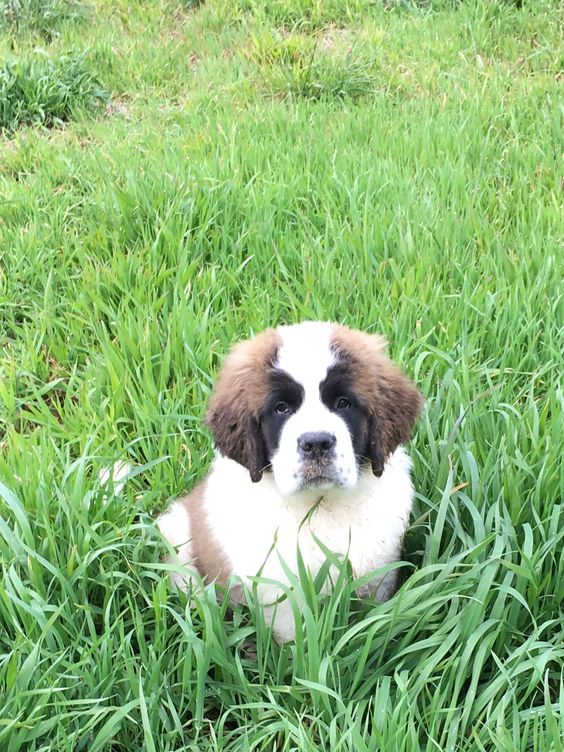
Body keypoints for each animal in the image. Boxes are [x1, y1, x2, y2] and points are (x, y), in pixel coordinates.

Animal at [156, 320, 420, 644]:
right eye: (281, 408)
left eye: (343, 403)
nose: (317, 443)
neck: (321, 506)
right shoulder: (278, 592)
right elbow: (296, 636)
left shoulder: (380, 572)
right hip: (177, 532)